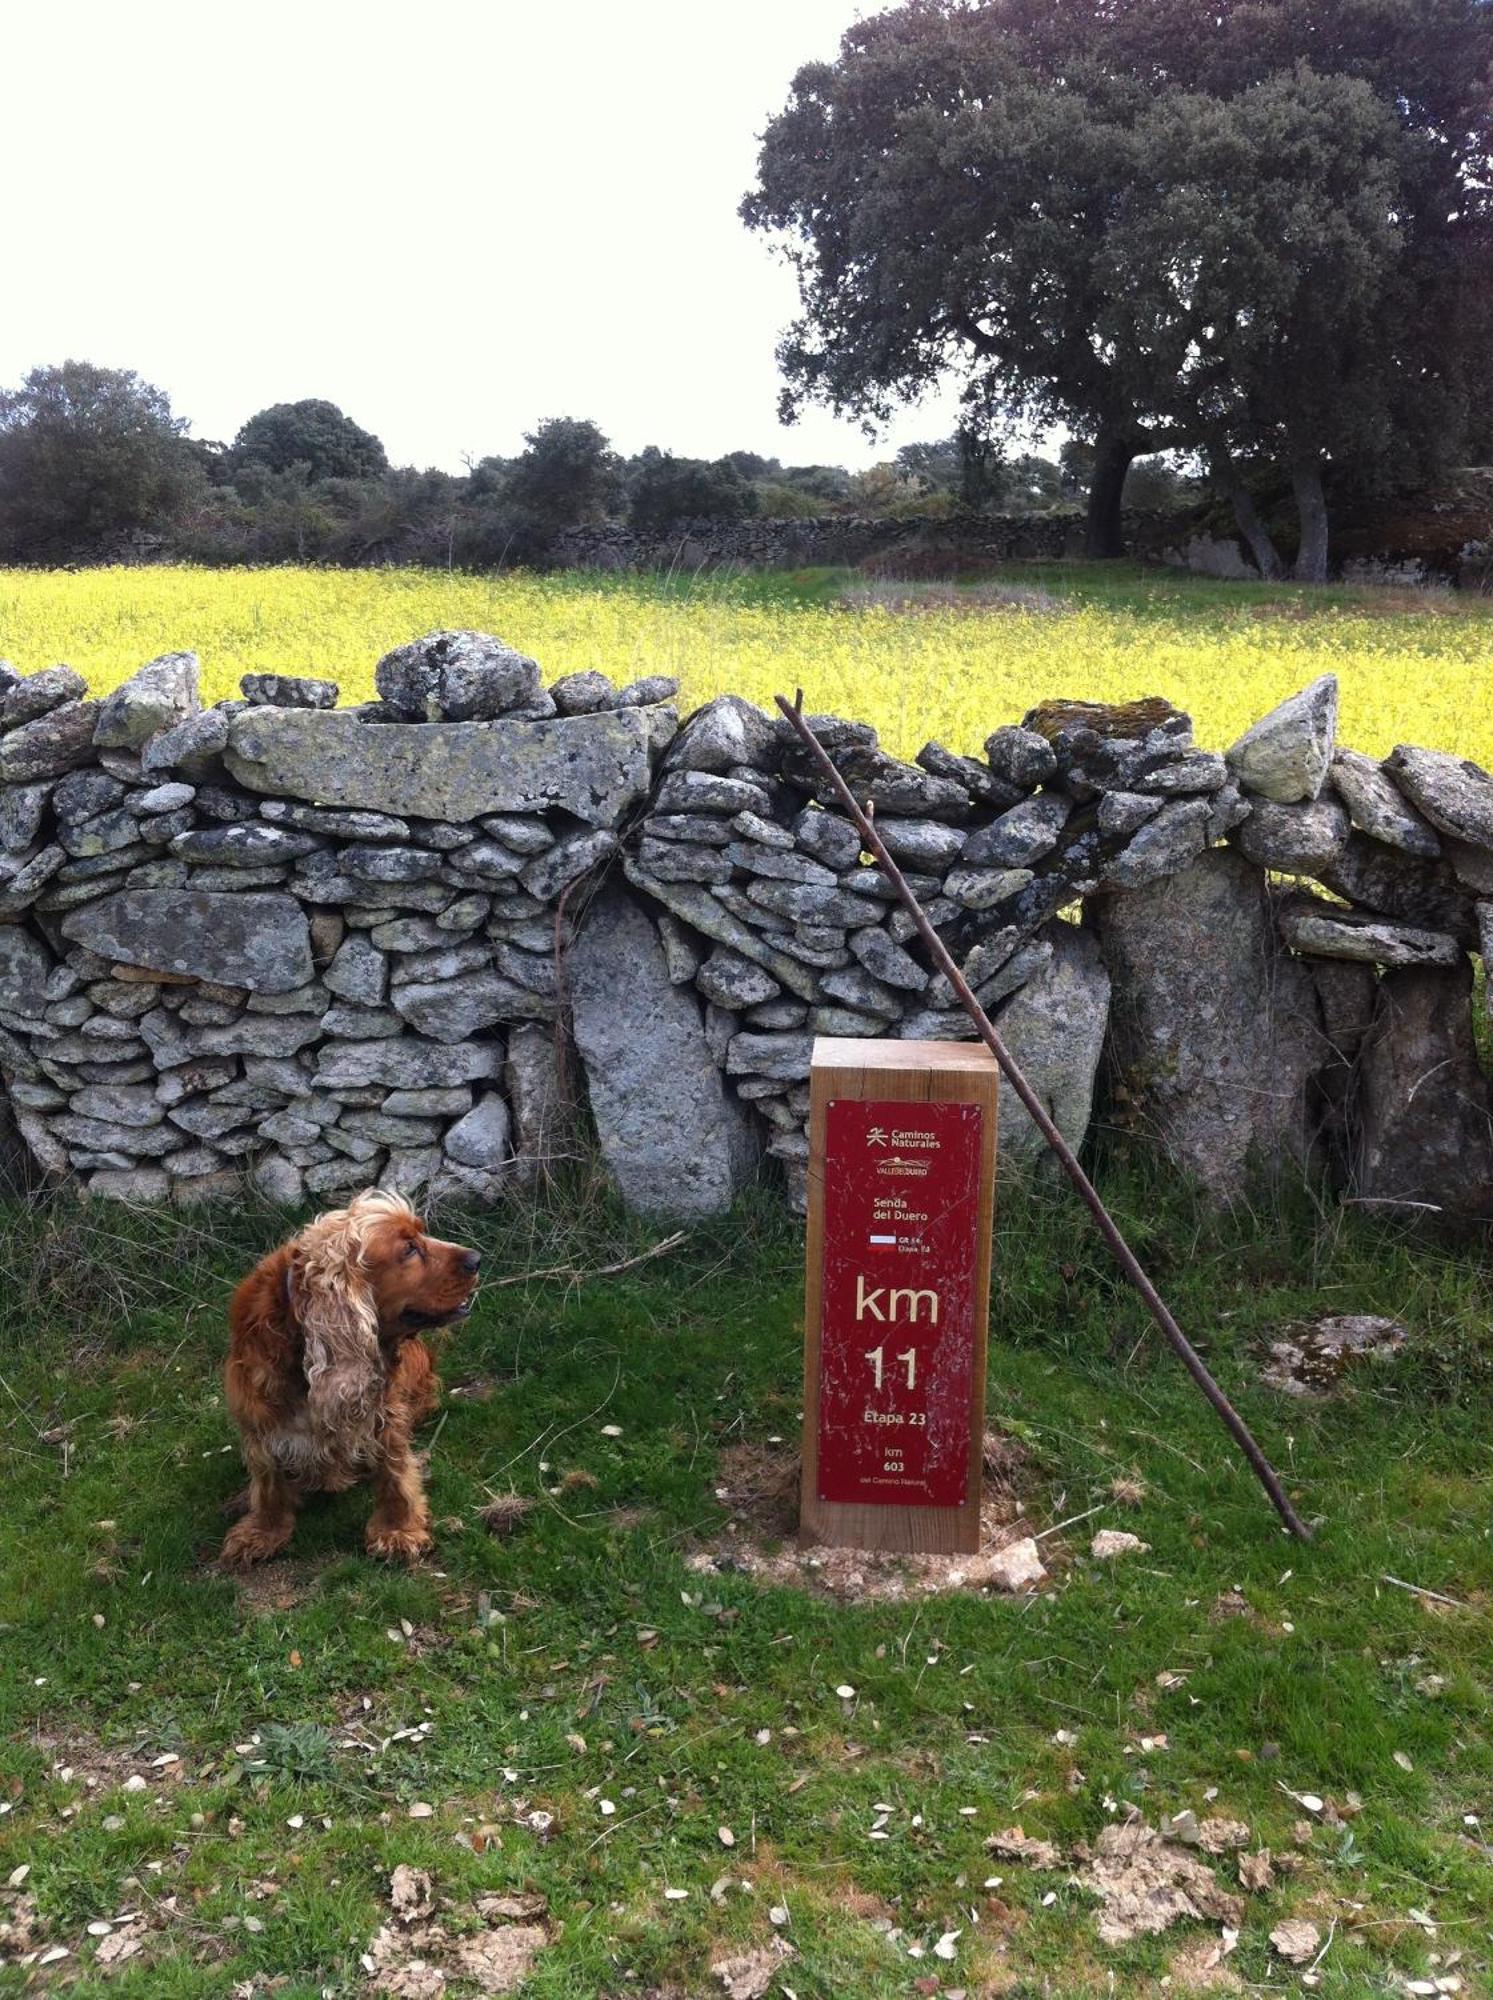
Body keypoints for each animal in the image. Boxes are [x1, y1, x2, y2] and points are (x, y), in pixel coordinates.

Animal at [218, 1184, 476, 1560]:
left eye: (421, 1234)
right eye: (409, 1249)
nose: (477, 1259)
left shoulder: (384, 1407)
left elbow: (394, 1471)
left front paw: (397, 1530)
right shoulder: (257, 1415)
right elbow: (268, 1481)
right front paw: (263, 1530)